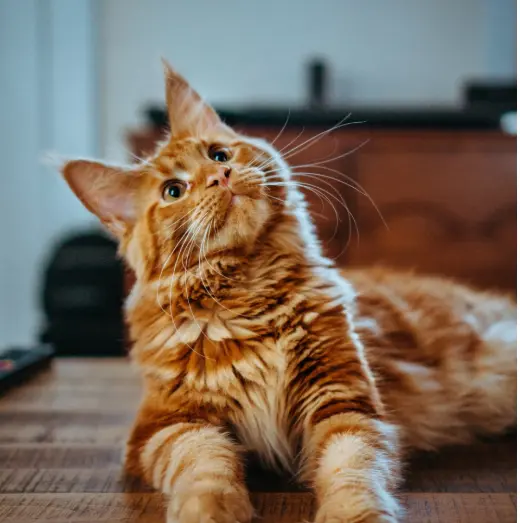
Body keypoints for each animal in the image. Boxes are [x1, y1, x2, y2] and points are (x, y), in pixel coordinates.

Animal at [62, 62, 516, 523]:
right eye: (174, 191)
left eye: (219, 155)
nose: (220, 177)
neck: (249, 295)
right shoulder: (167, 425)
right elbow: (204, 465)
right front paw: (211, 510)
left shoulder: (343, 402)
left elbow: (352, 471)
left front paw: (355, 514)